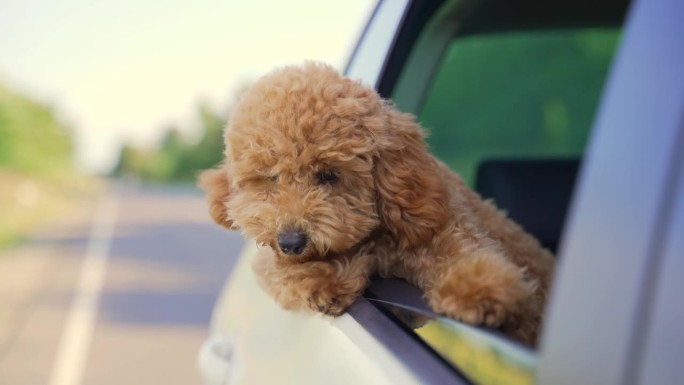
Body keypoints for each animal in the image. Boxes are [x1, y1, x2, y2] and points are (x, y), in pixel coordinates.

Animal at [198, 60, 556, 344]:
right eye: (270, 178)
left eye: (329, 175)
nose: (291, 242)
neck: (377, 240)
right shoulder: (270, 261)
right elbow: (281, 272)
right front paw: (320, 279)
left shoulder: (444, 229)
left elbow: (468, 253)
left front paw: (479, 291)